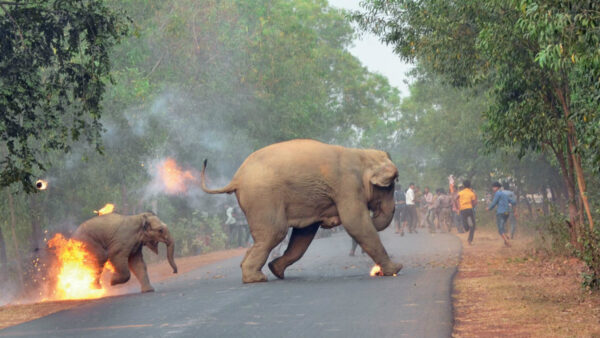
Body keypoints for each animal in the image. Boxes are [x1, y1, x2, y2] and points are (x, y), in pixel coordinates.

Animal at [200, 139, 404, 284]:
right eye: (390, 186)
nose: (331, 222)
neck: (362, 155)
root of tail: (236, 178)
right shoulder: (347, 186)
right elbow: (356, 222)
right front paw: (395, 269)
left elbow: (304, 234)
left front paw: (276, 268)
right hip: (263, 197)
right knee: (275, 232)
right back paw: (256, 279)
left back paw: (265, 272)